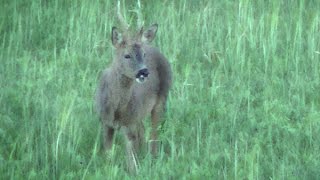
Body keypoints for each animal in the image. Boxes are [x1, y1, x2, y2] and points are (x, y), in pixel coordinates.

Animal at [95, 2, 172, 174]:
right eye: (127, 55)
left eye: (143, 54)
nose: (144, 71)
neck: (116, 109)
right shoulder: (105, 122)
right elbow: (108, 155)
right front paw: (109, 171)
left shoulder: (129, 123)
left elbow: (131, 160)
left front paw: (135, 172)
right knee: (143, 131)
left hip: (161, 100)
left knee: (154, 134)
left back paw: (152, 158)